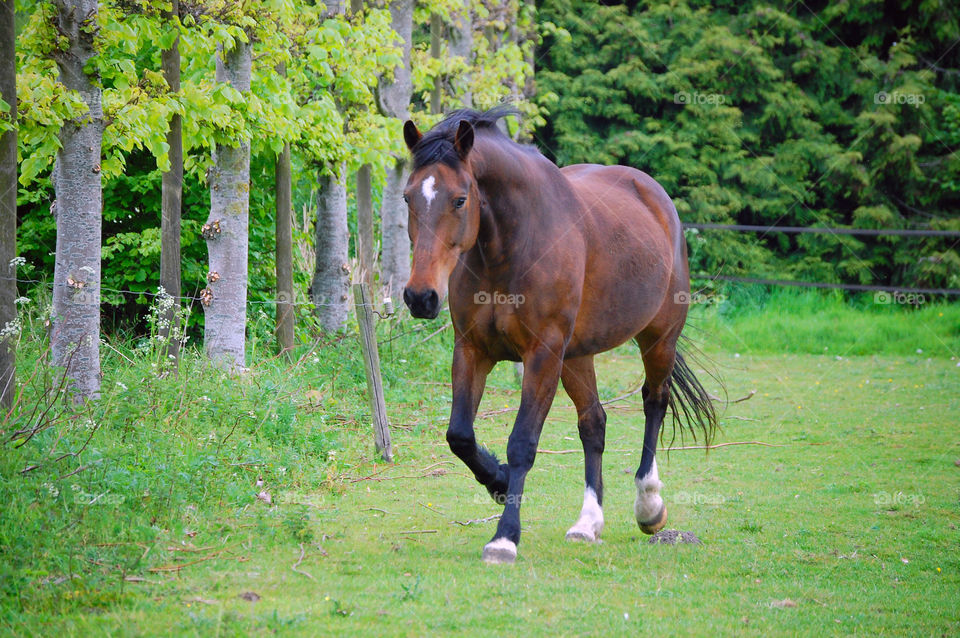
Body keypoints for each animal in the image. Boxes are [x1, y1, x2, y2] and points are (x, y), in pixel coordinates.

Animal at [396, 109, 712, 564]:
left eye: (459, 199)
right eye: (408, 198)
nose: (421, 296)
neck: (511, 247)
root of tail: (656, 196)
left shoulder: (542, 354)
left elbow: (522, 443)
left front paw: (504, 537)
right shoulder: (472, 350)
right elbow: (459, 436)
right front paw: (498, 481)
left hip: (658, 338)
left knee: (655, 402)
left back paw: (649, 505)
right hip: (577, 356)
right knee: (593, 423)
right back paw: (587, 523)